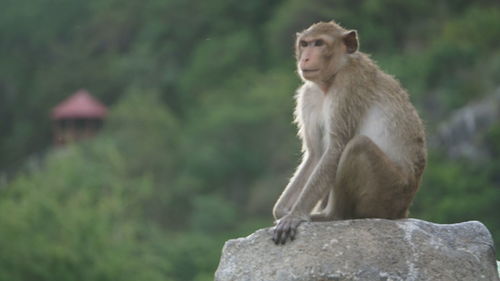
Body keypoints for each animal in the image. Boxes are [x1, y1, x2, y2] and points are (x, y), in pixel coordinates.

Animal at [272, 21, 428, 243]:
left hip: (390, 192)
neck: (331, 79)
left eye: (319, 43)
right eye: (305, 44)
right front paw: (282, 210)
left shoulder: (348, 84)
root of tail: (402, 211)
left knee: (357, 145)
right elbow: (316, 154)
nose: (306, 57)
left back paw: (332, 216)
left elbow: (336, 147)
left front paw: (295, 214)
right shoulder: (308, 95)